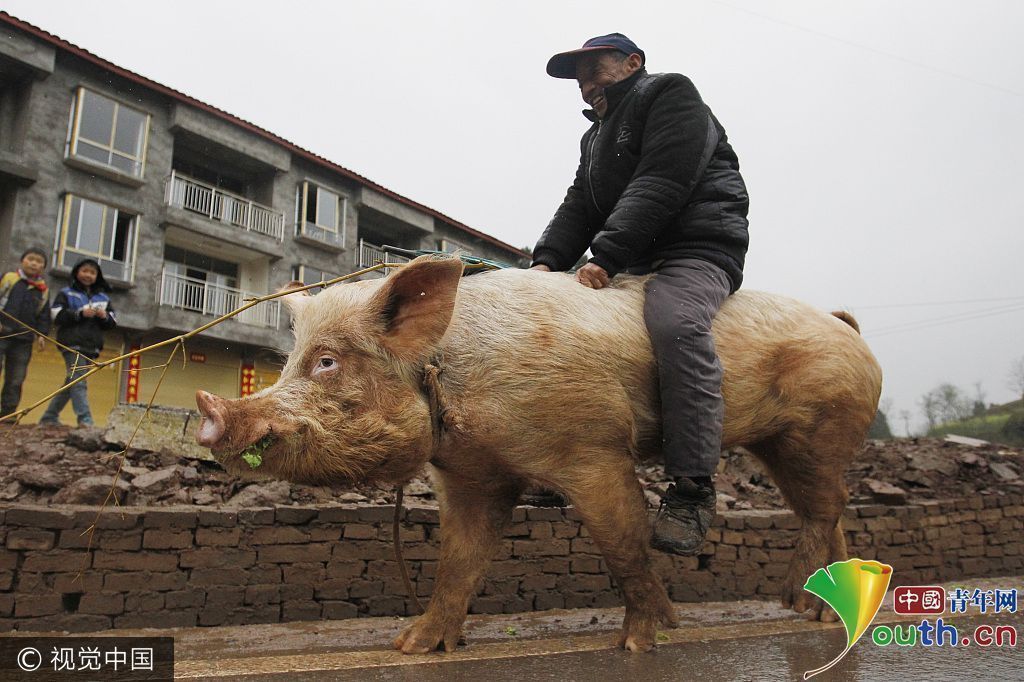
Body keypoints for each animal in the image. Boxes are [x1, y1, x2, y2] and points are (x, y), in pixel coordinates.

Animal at [195, 251, 884, 651]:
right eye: (290, 363)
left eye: (328, 362)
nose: (210, 411)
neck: (448, 372)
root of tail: (846, 328)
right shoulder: (473, 477)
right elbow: (459, 562)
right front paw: (411, 645)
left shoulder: (593, 447)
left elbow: (624, 543)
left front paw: (642, 642)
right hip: (786, 442)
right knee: (828, 508)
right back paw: (820, 616)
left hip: (819, 427)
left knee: (826, 505)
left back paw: (793, 606)